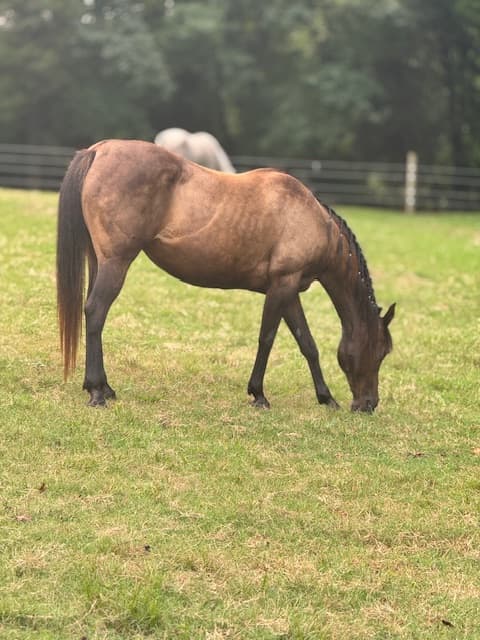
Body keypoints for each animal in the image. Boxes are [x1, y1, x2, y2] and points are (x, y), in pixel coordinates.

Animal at [56, 139, 395, 412]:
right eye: (381, 351)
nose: (368, 404)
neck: (311, 219)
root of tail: (100, 150)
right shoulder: (281, 287)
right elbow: (267, 339)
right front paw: (259, 395)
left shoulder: (289, 291)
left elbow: (307, 344)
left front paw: (326, 398)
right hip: (116, 263)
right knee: (96, 312)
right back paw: (97, 392)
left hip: (101, 262)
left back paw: (104, 387)